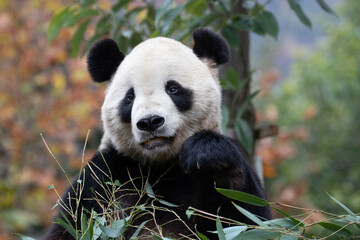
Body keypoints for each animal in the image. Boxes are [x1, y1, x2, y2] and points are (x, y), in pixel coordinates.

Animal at [44, 28, 270, 240]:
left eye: (173, 88)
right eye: (130, 97)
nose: (150, 122)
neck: (159, 165)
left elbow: (247, 220)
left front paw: (206, 153)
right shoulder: (103, 178)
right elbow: (71, 225)